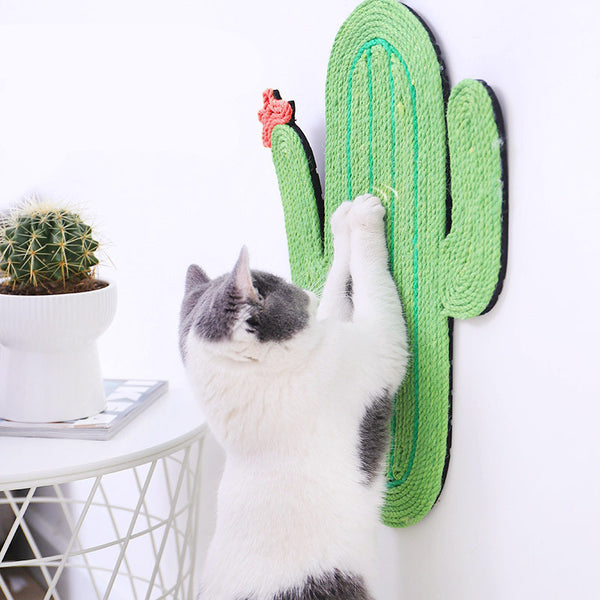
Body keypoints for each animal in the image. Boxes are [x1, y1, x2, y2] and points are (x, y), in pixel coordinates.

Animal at [180, 195, 410, 596]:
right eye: (280, 286)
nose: (307, 293)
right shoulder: (378, 347)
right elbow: (371, 285)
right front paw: (363, 217)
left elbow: (337, 293)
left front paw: (340, 222)